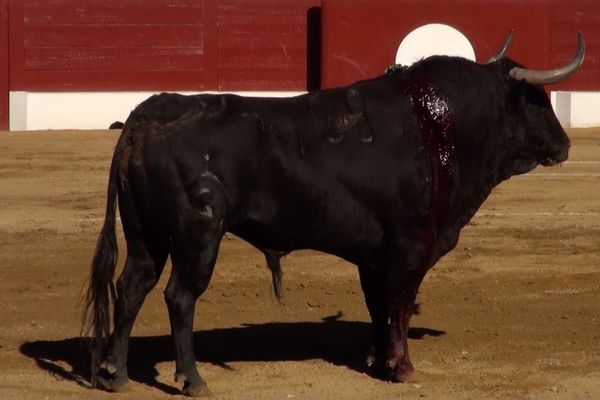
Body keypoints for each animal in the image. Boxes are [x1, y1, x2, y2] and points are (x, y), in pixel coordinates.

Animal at [82, 32, 584, 396]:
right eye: (537, 99)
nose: (565, 145)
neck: (439, 128)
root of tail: (142, 118)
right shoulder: (411, 243)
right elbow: (400, 302)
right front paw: (402, 367)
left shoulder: (373, 253)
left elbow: (378, 305)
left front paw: (378, 360)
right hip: (197, 236)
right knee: (180, 296)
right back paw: (193, 379)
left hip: (146, 234)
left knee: (132, 286)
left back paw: (114, 373)